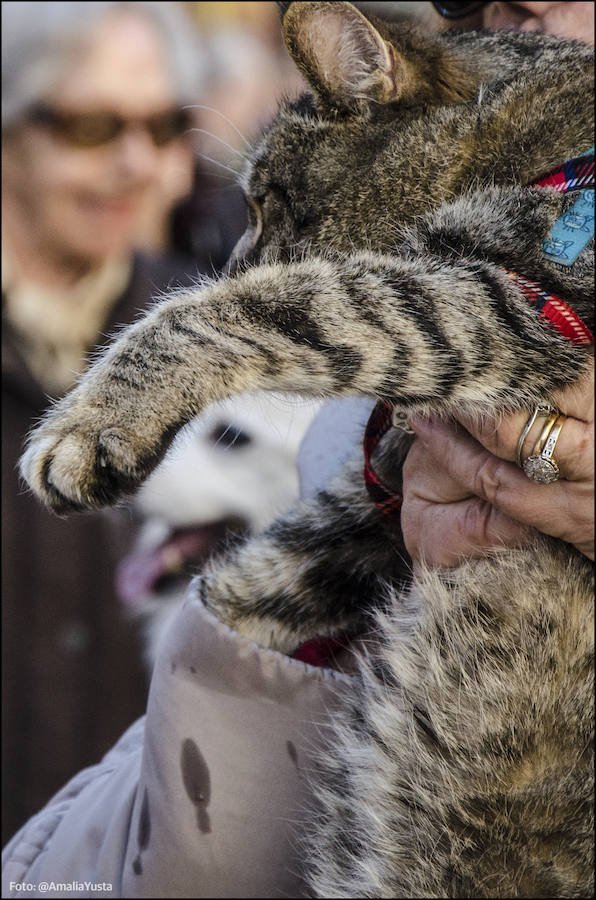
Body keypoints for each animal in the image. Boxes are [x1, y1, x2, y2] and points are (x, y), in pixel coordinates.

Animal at [21, 3, 592, 896]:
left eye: (264, 204)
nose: (223, 258)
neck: (536, 153)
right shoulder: (384, 487)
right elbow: (273, 565)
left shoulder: (512, 299)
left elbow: (260, 306)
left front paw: (91, 422)